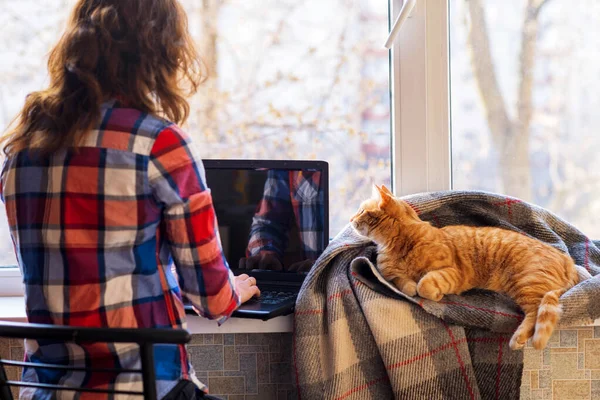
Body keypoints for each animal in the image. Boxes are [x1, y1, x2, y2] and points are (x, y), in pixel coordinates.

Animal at [352, 184, 580, 350]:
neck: (401, 242)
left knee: (535, 312)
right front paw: (410, 285)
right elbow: (404, 283)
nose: (351, 218)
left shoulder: (454, 272)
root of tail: (568, 261)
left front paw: (433, 293)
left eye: (361, 210)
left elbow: (424, 284)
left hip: (527, 283)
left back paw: (517, 339)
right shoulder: (391, 274)